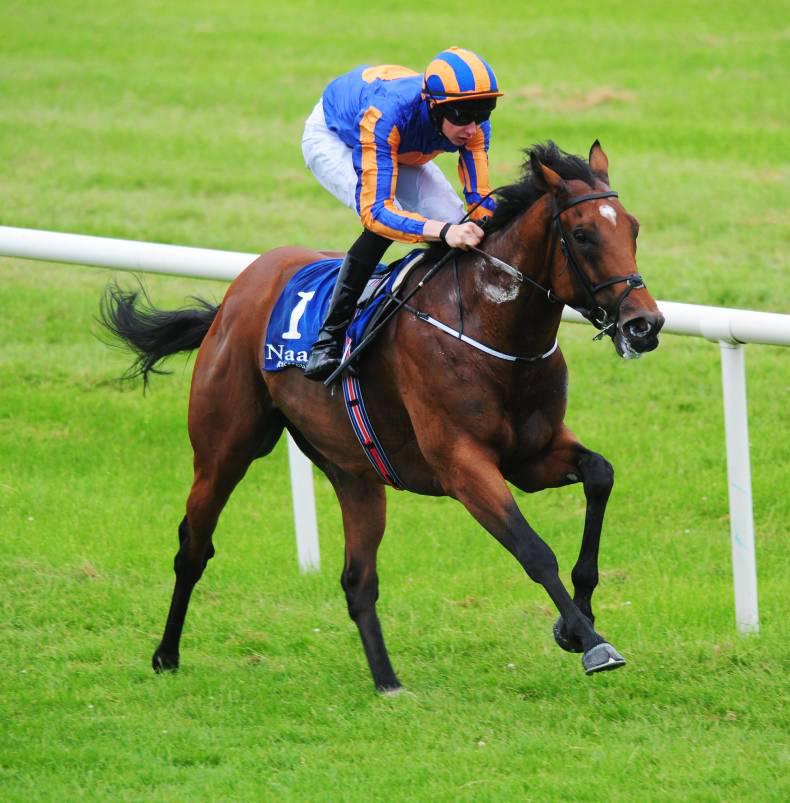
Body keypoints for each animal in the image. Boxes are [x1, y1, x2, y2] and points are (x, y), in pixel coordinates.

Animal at [101, 141, 664, 692]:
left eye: (633, 228)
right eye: (583, 235)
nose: (645, 325)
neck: (491, 326)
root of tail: (235, 294)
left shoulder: (532, 455)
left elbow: (600, 475)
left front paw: (576, 621)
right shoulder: (463, 465)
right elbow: (534, 550)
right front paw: (591, 642)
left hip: (354, 470)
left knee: (357, 579)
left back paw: (387, 682)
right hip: (225, 449)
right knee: (193, 546)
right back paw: (166, 655)